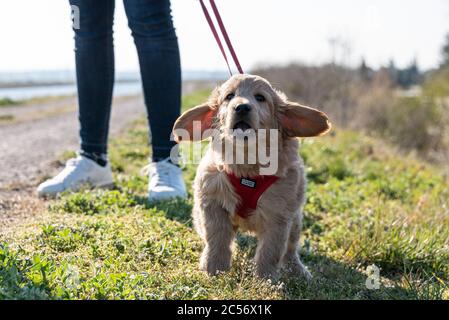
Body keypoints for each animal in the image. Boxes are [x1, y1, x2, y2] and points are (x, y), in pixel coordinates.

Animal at [172, 75, 328, 280]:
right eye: (229, 96)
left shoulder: (279, 216)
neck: (246, 165)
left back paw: (298, 270)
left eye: (260, 98)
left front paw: (265, 279)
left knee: (290, 249)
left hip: (295, 220)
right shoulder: (212, 203)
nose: (242, 107)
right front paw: (214, 268)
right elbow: (217, 239)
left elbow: (271, 250)